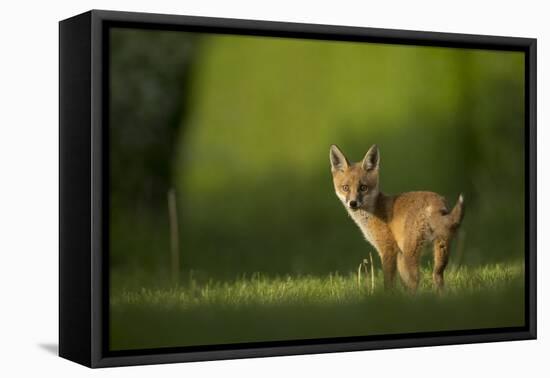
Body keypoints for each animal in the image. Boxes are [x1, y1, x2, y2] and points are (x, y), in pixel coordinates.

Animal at [332, 143, 466, 290]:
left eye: (363, 187)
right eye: (345, 188)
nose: (353, 203)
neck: (374, 209)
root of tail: (437, 202)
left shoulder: (388, 249)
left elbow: (389, 283)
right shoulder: (399, 255)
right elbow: (402, 282)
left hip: (410, 254)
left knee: (415, 280)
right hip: (440, 251)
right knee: (437, 277)